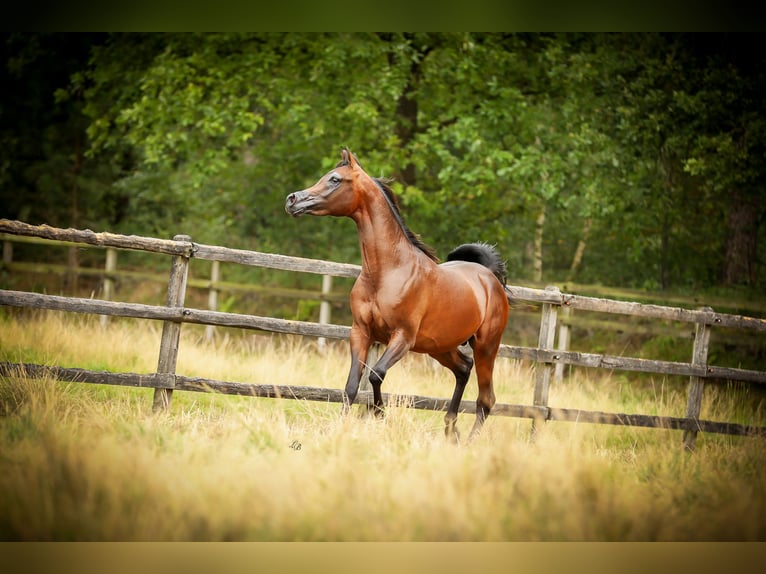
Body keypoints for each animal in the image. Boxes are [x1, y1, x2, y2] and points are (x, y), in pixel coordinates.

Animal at [286, 148, 510, 440]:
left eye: (335, 179)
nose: (292, 200)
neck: (386, 271)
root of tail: (490, 278)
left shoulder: (402, 337)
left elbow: (375, 374)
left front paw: (380, 414)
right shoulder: (360, 332)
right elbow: (351, 386)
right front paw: (344, 428)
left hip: (486, 346)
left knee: (486, 399)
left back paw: (469, 441)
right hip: (438, 346)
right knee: (463, 369)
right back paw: (451, 430)